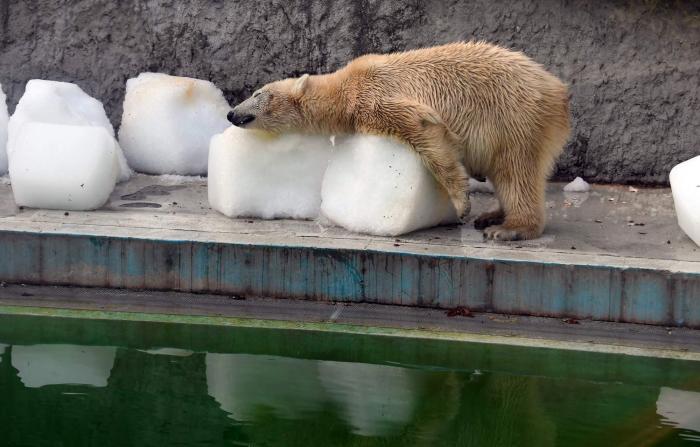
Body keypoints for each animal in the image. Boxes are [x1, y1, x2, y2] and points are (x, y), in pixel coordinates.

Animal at [228, 42, 570, 240]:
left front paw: (462, 204)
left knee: (516, 171)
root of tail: (558, 90)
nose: (231, 113)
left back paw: (508, 229)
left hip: (514, 115)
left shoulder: (377, 96)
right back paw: (494, 215)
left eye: (258, 93)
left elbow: (423, 131)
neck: (346, 88)